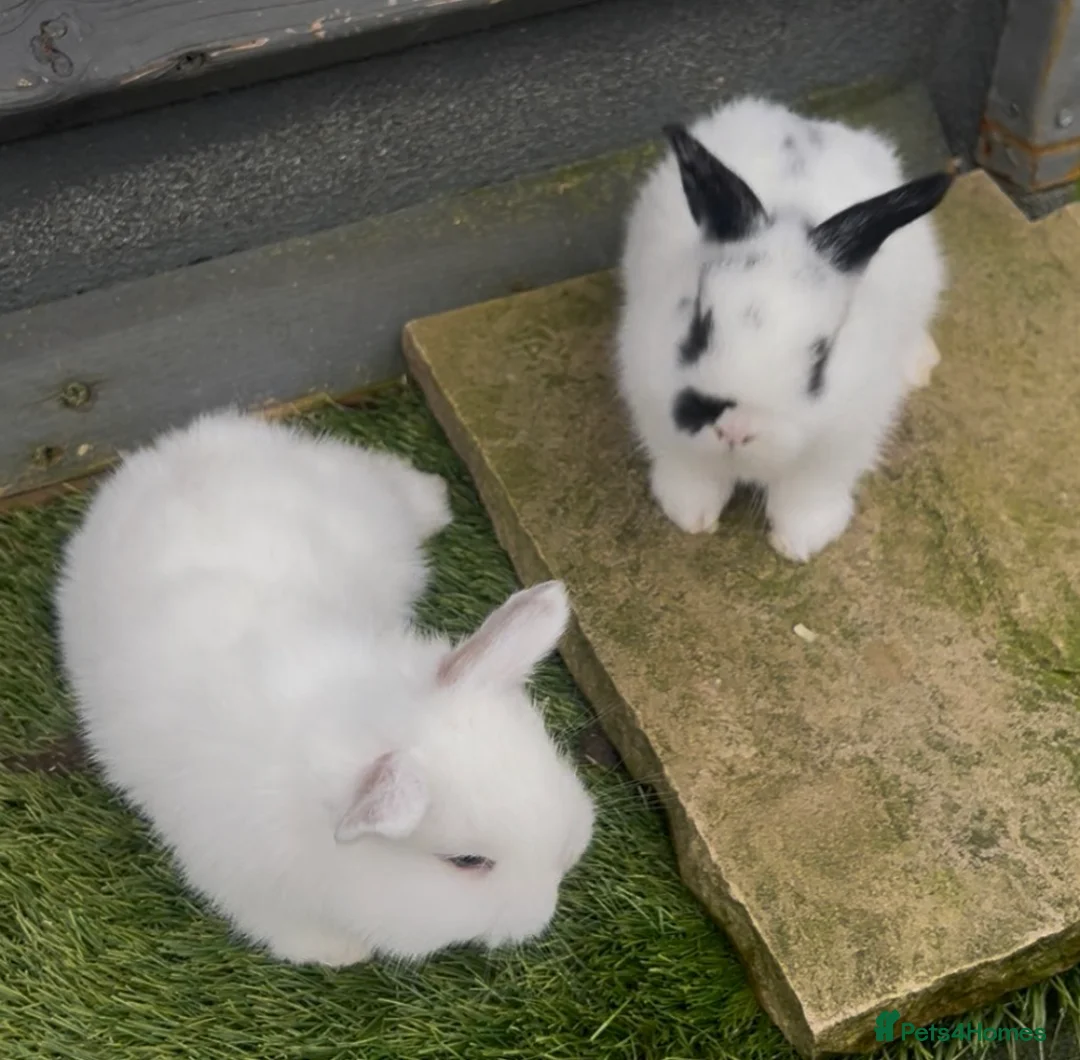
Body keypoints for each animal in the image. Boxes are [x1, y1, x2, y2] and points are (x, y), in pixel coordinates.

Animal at [615, 96, 953, 561]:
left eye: (821, 358)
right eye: (698, 329)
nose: (735, 430)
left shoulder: (845, 436)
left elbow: (808, 492)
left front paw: (799, 541)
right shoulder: (649, 392)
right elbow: (688, 467)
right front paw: (692, 516)